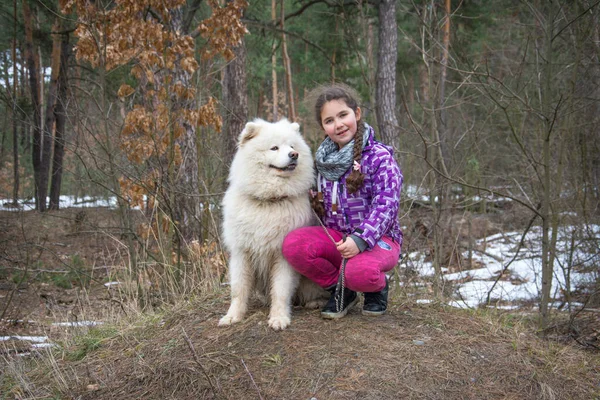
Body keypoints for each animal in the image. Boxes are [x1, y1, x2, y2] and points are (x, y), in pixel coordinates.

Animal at [219, 117, 326, 330]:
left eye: (292, 147)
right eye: (274, 148)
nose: (294, 155)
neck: (269, 201)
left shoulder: (281, 255)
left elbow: (280, 290)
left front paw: (278, 318)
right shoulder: (241, 252)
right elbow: (239, 289)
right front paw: (233, 316)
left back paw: (315, 302)